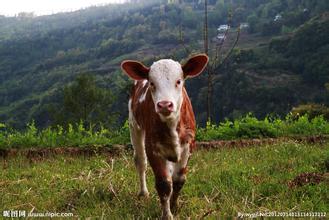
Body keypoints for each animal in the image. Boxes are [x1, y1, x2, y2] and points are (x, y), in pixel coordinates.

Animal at [120, 53, 208, 220]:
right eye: (152, 83)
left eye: (178, 81)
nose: (165, 105)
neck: (172, 124)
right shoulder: (153, 147)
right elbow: (164, 183)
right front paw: (167, 214)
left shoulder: (188, 146)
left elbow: (179, 180)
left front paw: (175, 206)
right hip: (134, 126)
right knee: (140, 161)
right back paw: (143, 192)